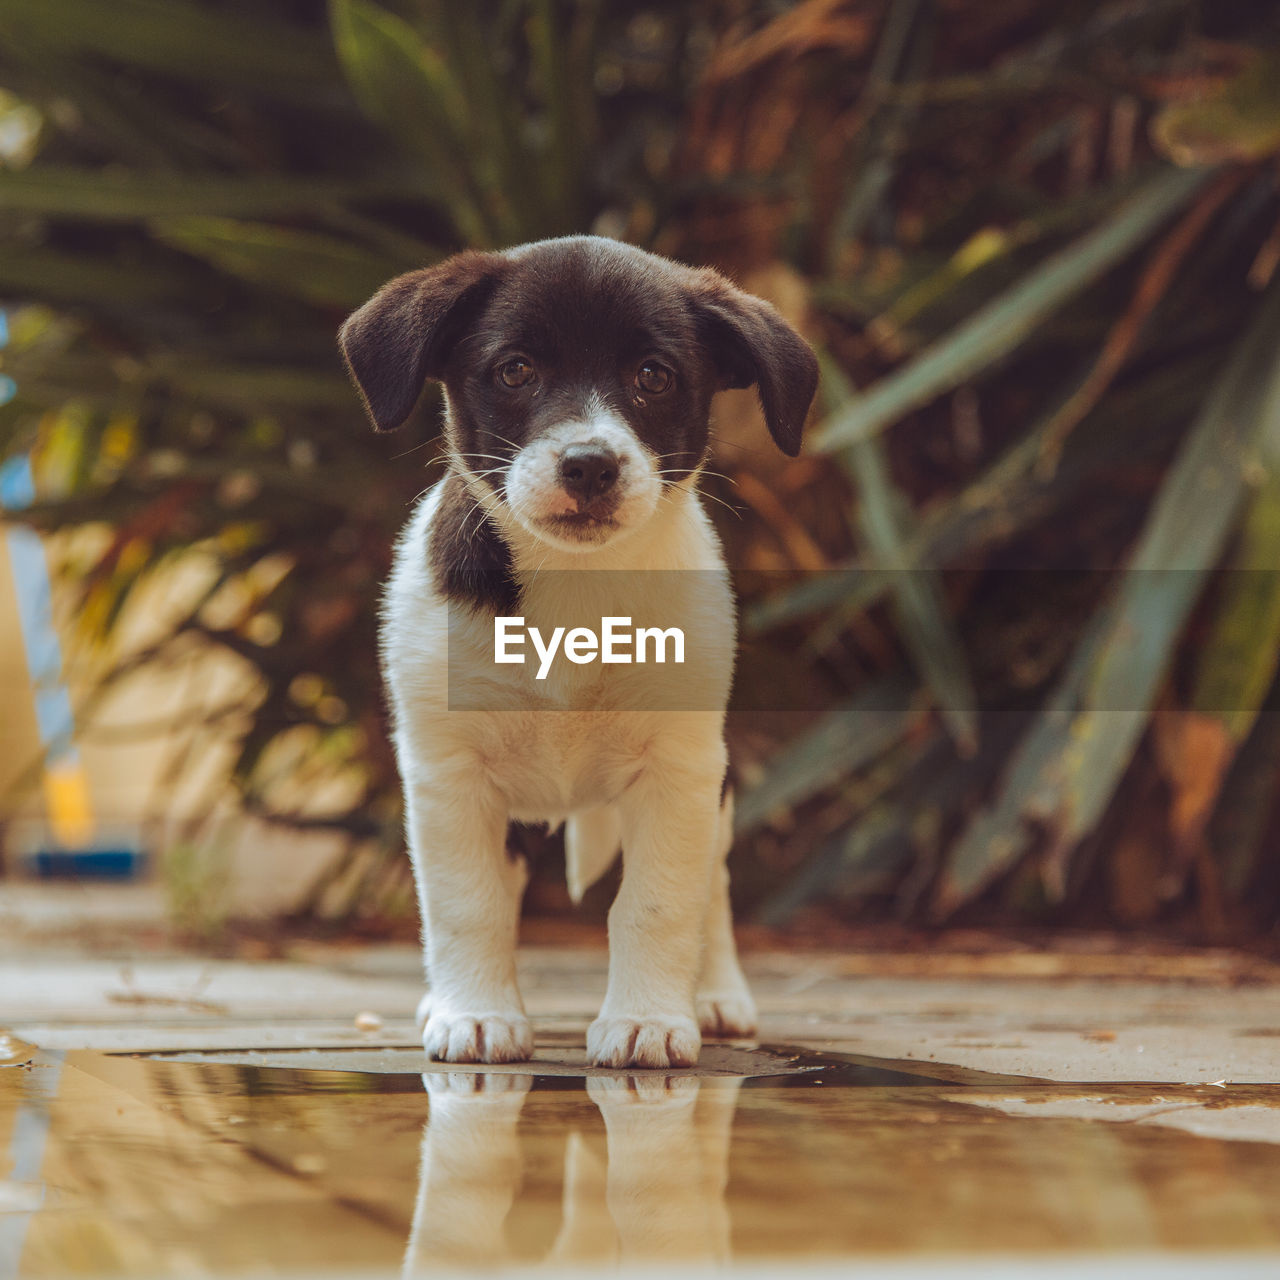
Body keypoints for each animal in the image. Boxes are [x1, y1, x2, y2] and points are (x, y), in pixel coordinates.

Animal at [337, 232, 819, 1070]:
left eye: (653, 376)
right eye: (516, 369)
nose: (590, 463)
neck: (577, 586)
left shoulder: (680, 770)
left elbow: (659, 902)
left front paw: (649, 1019)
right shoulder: (447, 771)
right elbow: (467, 901)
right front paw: (476, 1013)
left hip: (717, 789)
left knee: (715, 891)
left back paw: (715, 994)